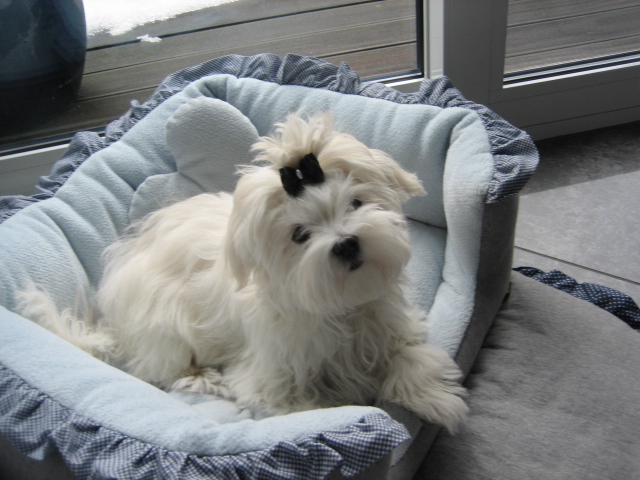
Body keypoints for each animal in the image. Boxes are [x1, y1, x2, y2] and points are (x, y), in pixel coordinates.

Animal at [18, 112, 468, 432]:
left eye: (355, 203)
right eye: (299, 235)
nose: (346, 243)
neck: (340, 307)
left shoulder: (389, 322)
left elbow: (412, 353)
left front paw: (435, 399)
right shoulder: (270, 379)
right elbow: (306, 404)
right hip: (165, 327)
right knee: (163, 369)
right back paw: (205, 379)